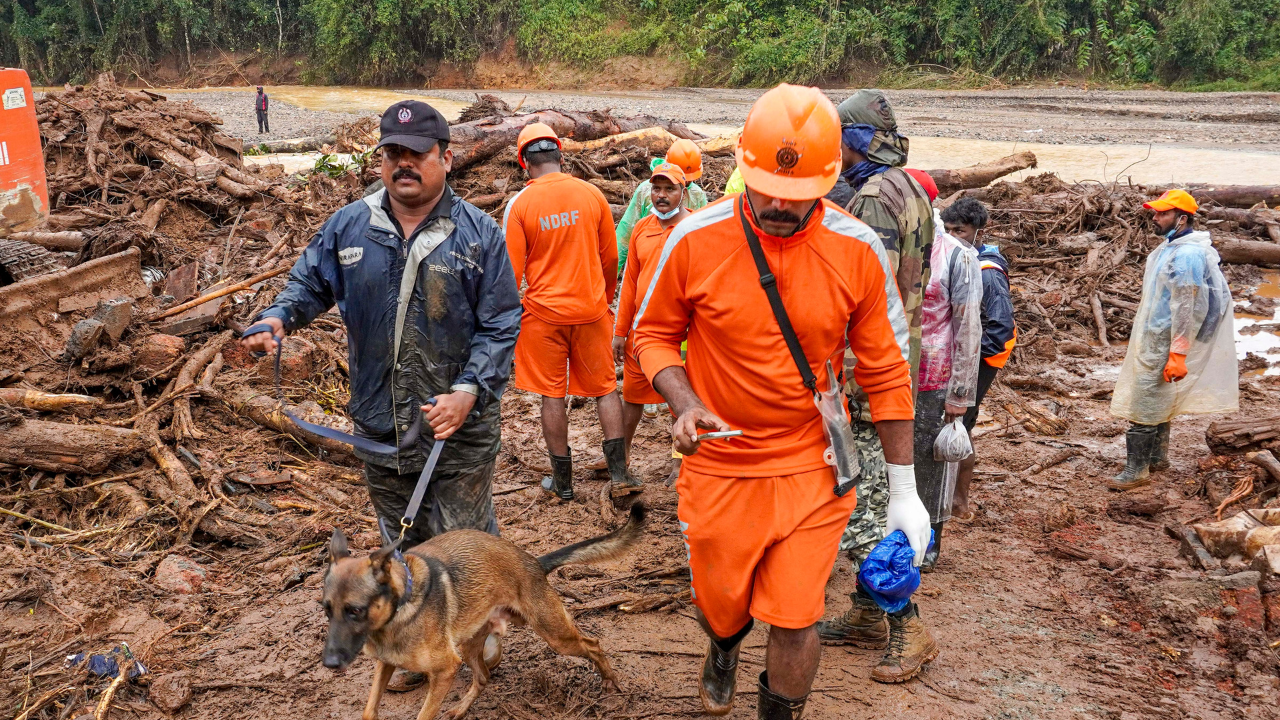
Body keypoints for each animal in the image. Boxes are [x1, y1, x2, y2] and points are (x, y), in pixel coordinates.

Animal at [316, 499, 645, 717]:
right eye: (326, 610)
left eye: (355, 610)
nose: (329, 664)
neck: (400, 609)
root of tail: (534, 562)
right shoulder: (386, 663)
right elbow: (369, 709)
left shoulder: (445, 670)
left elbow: (424, 714)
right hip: (470, 644)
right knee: (484, 676)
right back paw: (460, 709)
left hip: (554, 635)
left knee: (593, 643)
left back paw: (611, 681)